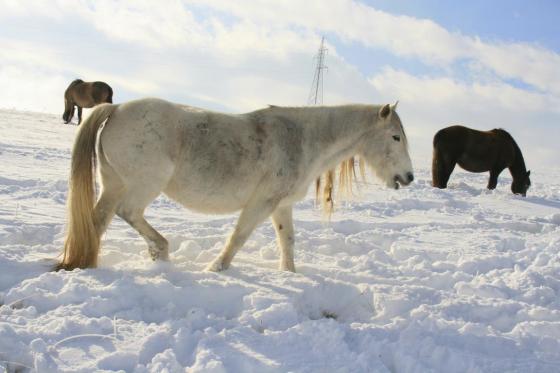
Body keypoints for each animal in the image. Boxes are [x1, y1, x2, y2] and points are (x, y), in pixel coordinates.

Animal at [57, 98, 414, 274]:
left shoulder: (281, 206)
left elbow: (288, 241)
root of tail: (117, 109)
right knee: (127, 212)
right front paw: (217, 268)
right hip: (143, 185)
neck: (302, 138)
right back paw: (160, 249)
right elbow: (239, 236)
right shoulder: (261, 203)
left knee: (99, 219)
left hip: (113, 183)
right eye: (395, 137)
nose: (409, 177)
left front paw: (290, 275)